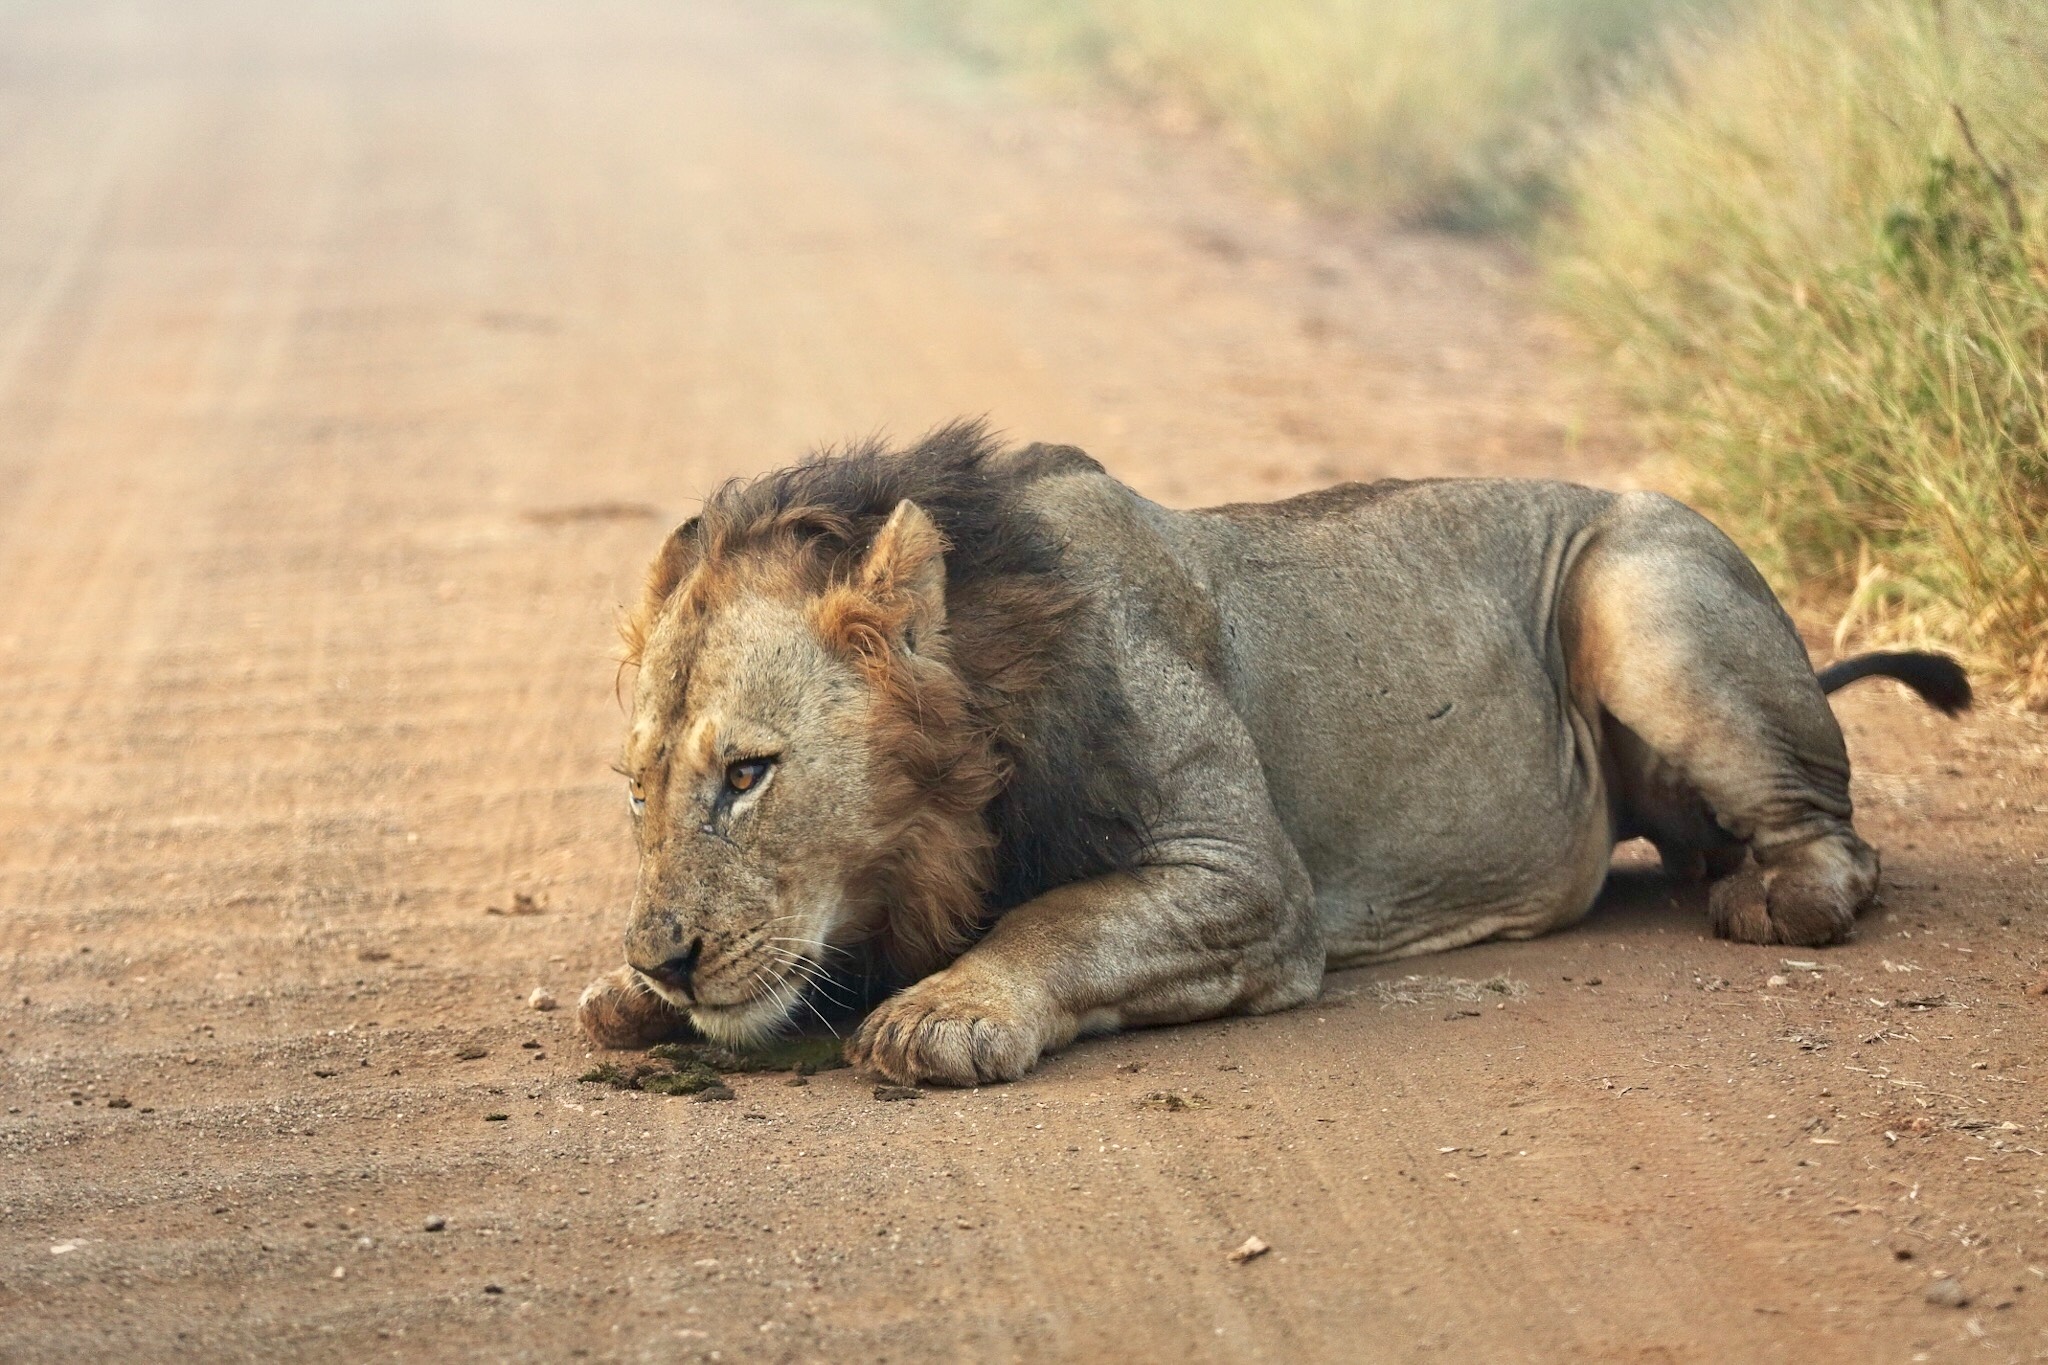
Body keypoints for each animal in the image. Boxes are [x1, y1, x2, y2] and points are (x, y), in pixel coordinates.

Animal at [577, 422, 1968, 1085]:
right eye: (638, 791)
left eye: (747, 774)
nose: (666, 957)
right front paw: (626, 993)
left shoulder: (1245, 878)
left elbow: (1053, 920)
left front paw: (945, 1013)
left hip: (1639, 584)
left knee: (1838, 846)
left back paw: (1767, 896)